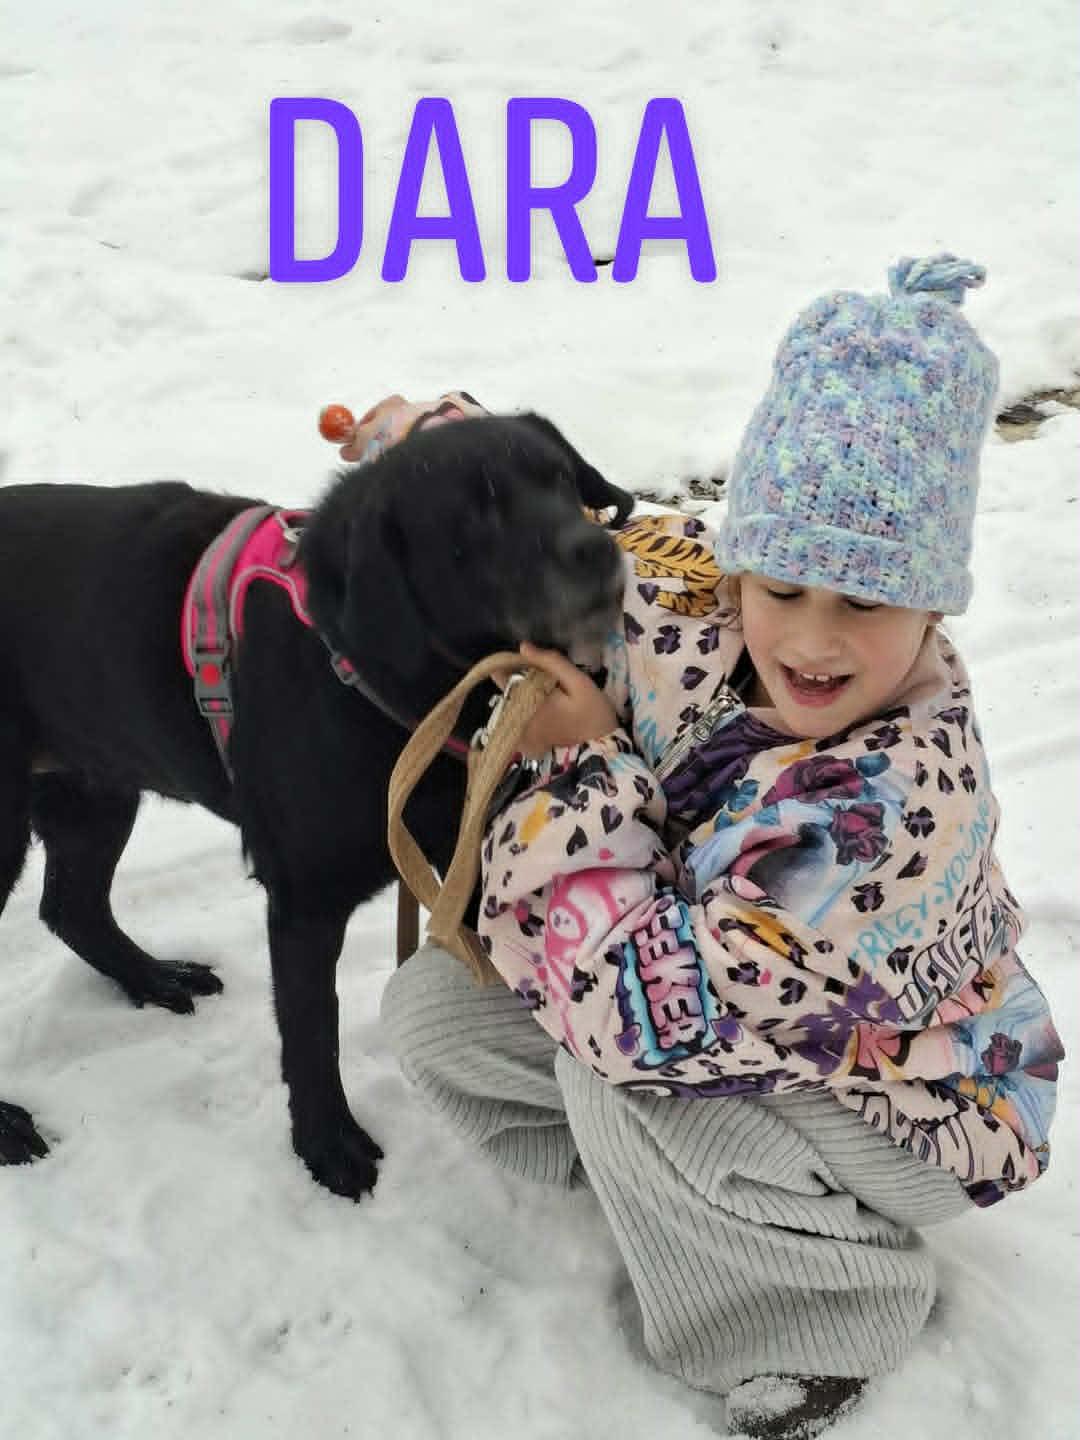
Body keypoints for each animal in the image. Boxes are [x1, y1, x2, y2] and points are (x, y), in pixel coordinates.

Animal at [0, 413, 632, 1198]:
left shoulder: (457, 852)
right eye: (471, 516)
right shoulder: (305, 899)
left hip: (95, 785)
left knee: (74, 906)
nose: (596, 549)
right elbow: (311, 1031)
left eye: (563, 479)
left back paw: (155, 977)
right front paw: (327, 1146)